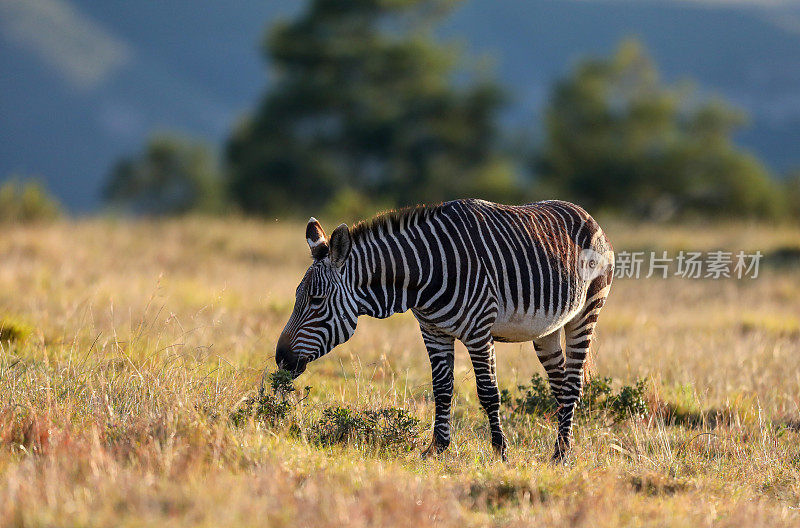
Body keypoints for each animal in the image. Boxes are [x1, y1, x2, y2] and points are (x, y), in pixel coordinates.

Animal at [278, 199, 616, 462]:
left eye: (317, 300)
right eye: (296, 296)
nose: (281, 359)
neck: (423, 276)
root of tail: (587, 214)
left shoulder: (479, 331)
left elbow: (488, 392)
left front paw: (500, 452)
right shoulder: (433, 331)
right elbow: (441, 389)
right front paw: (437, 449)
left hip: (586, 312)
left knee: (573, 384)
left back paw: (561, 456)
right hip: (547, 328)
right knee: (560, 384)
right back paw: (561, 447)